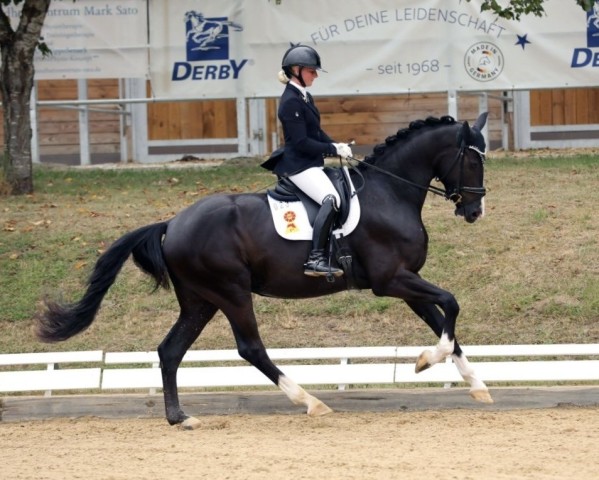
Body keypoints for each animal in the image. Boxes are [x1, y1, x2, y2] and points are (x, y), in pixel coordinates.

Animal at [36, 113, 492, 428]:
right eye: (472, 161)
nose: (474, 211)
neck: (390, 192)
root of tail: (171, 224)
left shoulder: (406, 283)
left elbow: (446, 325)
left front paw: (476, 386)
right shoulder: (391, 280)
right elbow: (451, 305)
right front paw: (426, 362)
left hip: (200, 300)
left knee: (170, 351)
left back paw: (180, 417)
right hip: (232, 292)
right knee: (250, 348)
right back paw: (309, 401)